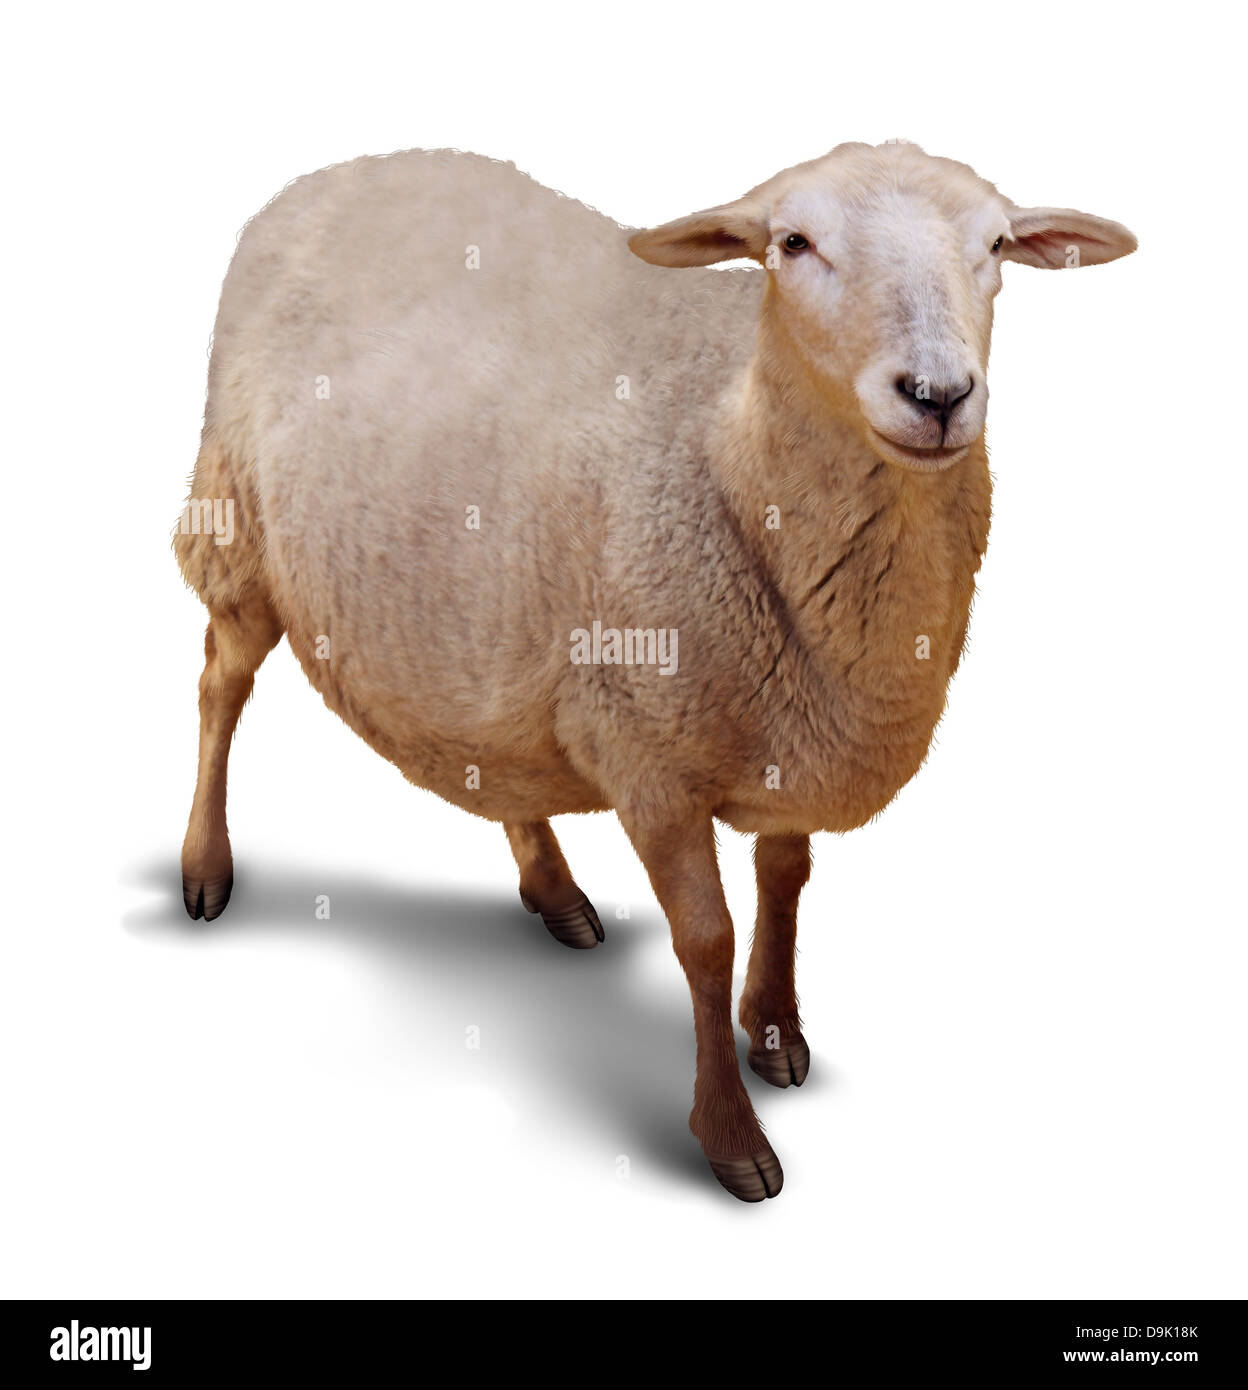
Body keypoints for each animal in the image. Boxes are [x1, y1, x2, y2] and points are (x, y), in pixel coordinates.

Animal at [174, 141, 1136, 1202]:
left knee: (489, 750)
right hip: (238, 524)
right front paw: (731, 1134)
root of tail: (328, 174)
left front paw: (777, 1033)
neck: (731, 457)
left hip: (498, 608)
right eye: (792, 243)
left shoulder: (787, 727)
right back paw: (205, 870)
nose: (937, 395)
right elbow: (706, 940)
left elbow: (786, 883)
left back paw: (554, 892)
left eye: (997, 244)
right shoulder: (654, 759)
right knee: (220, 685)